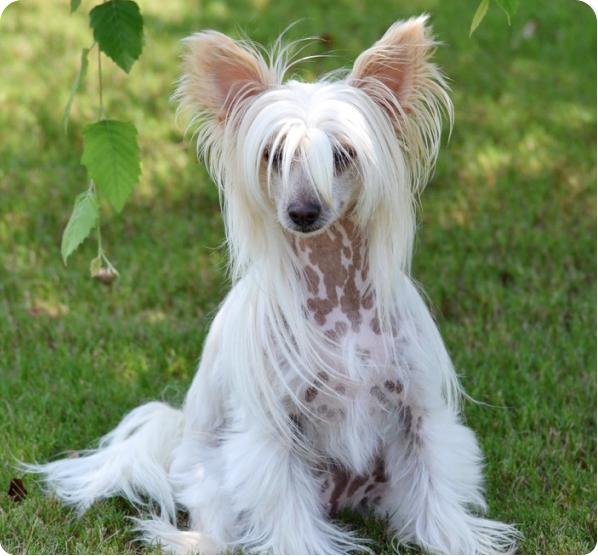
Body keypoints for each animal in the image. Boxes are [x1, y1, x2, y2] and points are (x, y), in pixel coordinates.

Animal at [27, 16, 520, 555]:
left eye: (342, 155)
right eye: (274, 155)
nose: (302, 211)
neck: (339, 299)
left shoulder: (418, 415)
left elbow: (438, 502)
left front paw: (460, 541)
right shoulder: (274, 436)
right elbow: (290, 521)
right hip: (213, 481)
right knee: (215, 532)